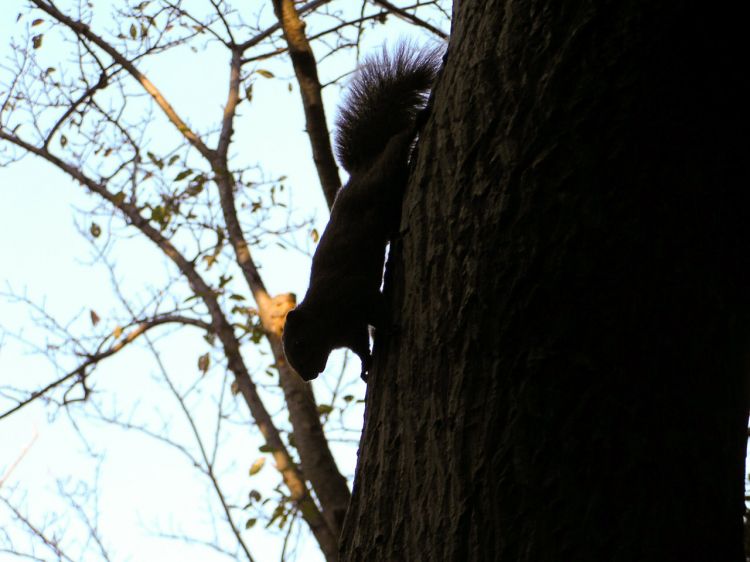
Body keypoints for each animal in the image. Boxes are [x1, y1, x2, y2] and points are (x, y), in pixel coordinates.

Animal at [284, 42, 444, 376]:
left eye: (299, 343)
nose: (308, 375)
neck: (326, 319)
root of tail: (363, 167)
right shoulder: (350, 331)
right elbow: (360, 345)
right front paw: (366, 366)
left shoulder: (354, 295)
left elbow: (375, 309)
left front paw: (390, 327)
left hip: (382, 175)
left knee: (398, 142)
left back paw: (417, 124)